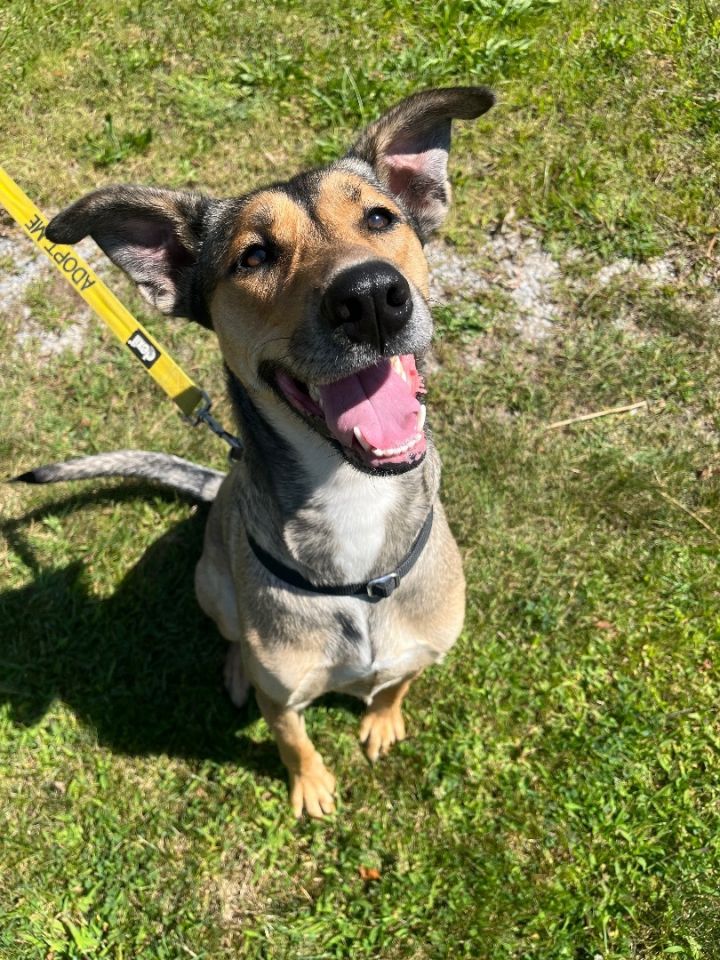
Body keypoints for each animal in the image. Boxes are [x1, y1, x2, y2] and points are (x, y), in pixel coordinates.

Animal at [19, 86, 498, 812]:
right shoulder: (285, 695)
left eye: (380, 217)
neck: (354, 499)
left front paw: (383, 718)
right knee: (232, 633)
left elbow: (396, 683)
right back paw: (236, 665)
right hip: (209, 583)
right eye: (254, 256)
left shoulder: (423, 647)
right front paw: (312, 786)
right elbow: (293, 740)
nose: (370, 297)